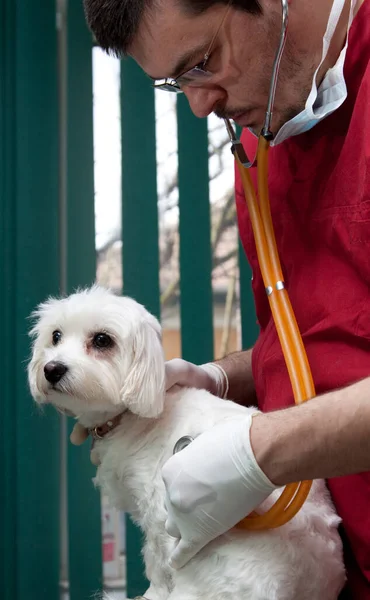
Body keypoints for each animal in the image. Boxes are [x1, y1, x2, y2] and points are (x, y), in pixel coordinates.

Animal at [27, 286, 346, 600]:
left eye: (102, 340)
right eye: (56, 336)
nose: (52, 368)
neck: (136, 415)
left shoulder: (158, 511)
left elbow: (156, 558)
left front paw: (153, 593)